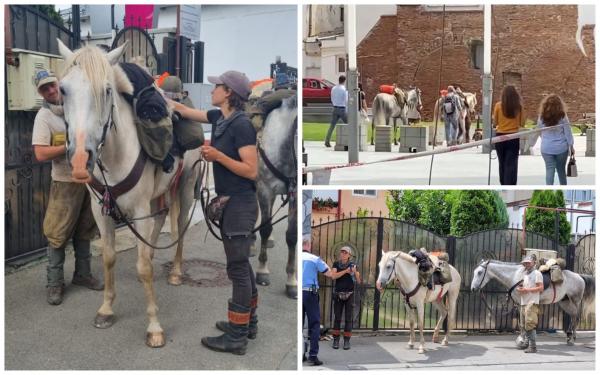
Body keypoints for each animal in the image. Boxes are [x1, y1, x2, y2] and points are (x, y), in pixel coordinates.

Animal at [56, 39, 198, 348]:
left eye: (107, 90)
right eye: (62, 90)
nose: (80, 159)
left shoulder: (140, 211)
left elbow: (143, 266)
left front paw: (154, 326)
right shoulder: (102, 211)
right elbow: (110, 257)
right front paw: (106, 309)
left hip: (185, 187)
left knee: (179, 226)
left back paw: (176, 272)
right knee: (160, 222)